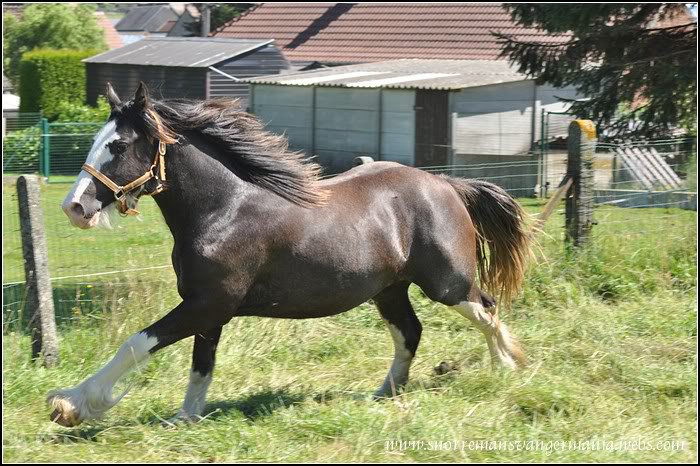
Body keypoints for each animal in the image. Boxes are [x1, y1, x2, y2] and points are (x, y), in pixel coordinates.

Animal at [47, 83, 532, 426]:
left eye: (119, 145)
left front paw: (72, 405)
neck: (224, 210)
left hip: (447, 284)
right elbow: (201, 366)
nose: (74, 207)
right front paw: (184, 418)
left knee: (487, 310)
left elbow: (136, 343)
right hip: (390, 290)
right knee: (410, 331)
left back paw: (506, 368)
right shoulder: (208, 309)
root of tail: (447, 184)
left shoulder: (207, 304)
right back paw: (384, 393)